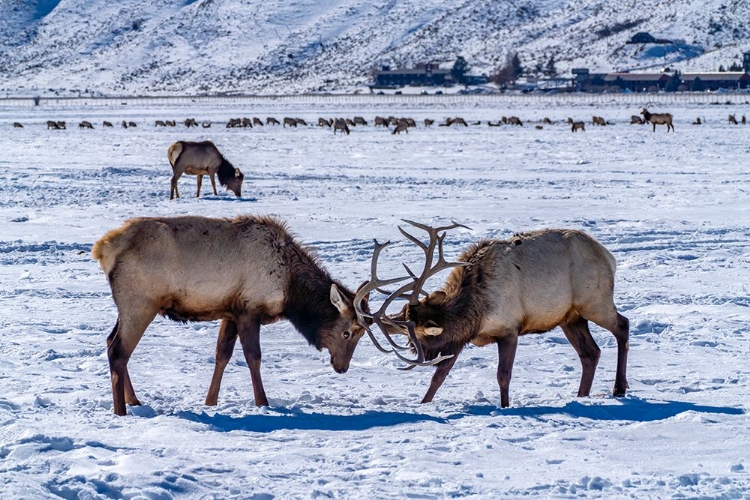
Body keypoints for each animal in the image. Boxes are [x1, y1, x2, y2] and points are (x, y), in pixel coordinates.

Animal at [92, 215, 372, 414]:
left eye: (362, 335)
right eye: (347, 333)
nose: (342, 367)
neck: (290, 290)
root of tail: (103, 248)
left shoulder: (230, 311)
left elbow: (222, 355)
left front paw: (210, 401)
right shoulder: (250, 309)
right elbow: (253, 357)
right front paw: (262, 402)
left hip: (128, 307)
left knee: (111, 342)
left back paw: (134, 401)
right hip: (140, 303)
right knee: (118, 350)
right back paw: (120, 411)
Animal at [356, 221, 632, 408]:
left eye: (411, 329)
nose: (376, 321)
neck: (476, 311)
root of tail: (610, 257)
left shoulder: (509, 330)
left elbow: (503, 376)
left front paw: (505, 407)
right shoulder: (459, 340)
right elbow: (439, 377)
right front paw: (423, 404)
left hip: (594, 301)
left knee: (622, 325)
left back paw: (619, 388)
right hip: (569, 317)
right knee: (590, 353)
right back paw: (582, 395)